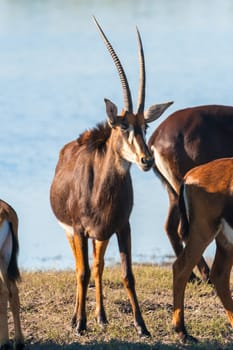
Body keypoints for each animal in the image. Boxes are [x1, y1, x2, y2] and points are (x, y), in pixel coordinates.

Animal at [49, 16, 173, 336]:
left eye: (145, 126)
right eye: (123, 126)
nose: (146, 160)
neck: (99, 191)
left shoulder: (121, 227)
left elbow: (127, 273)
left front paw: (141, 326)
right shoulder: (79, 229)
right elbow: (81, 272)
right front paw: (80, 325)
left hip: (101, 235)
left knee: (98, 265)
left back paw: (102, 316)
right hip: (71, 232)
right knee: (81, 267)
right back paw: (76, 318)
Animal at [147, 105, 233, 284]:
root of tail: (156, 135)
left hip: (174, 192)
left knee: (171, 227)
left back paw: (194, 276)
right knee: (185, 231)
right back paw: (206, 275)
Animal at [173, 157, 233, 344]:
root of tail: (190, 175)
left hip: (225, 242)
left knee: (220, 276)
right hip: (203, 232)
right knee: (180, 268)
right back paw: (182, 332)